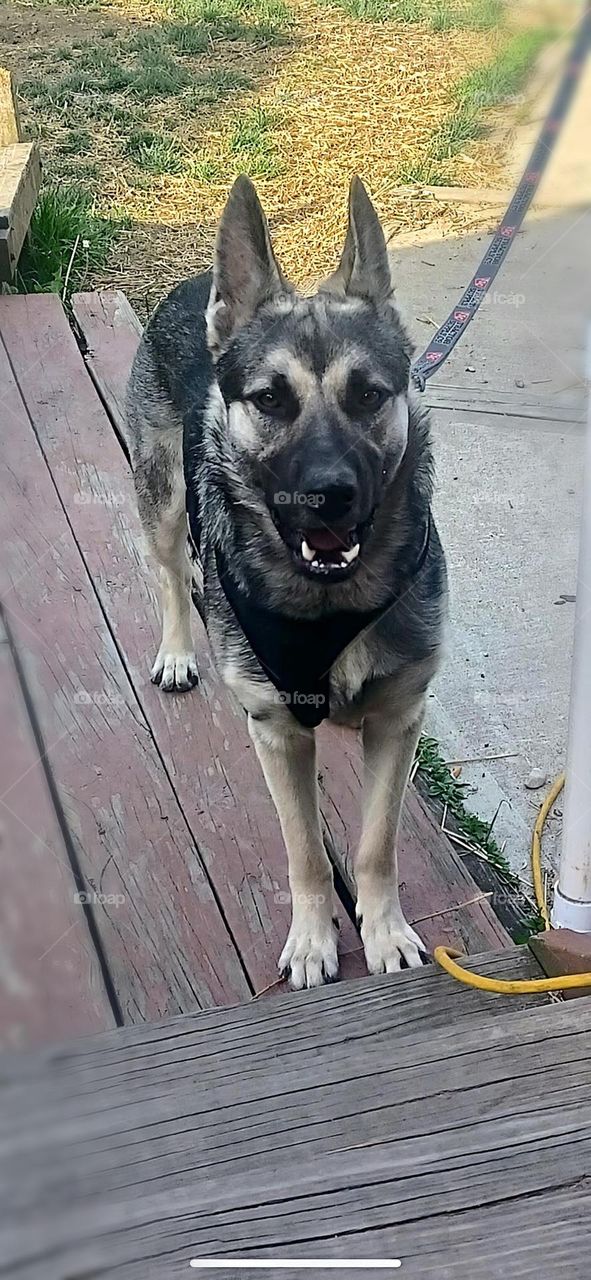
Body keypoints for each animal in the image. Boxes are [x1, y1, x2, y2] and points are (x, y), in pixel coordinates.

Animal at [127, 172, 445, 988]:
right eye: (270, 399)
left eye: (368, 395)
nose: (328, 494)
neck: (328, 605)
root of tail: (196, 284)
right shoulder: (275, 733)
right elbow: (306, 851)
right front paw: (311, 940)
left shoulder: (398, 721)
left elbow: (374, 843)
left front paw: (383, 929)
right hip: (161, 500)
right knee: (169, 573)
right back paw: (178, 648)